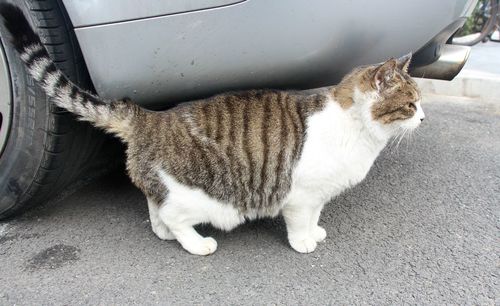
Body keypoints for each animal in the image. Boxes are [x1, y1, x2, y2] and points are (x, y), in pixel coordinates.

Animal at [0, 3, 424, 256]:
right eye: (410, 104)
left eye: (421, 102)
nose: (423, 119)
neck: (358, 130)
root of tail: (150, 117)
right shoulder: (302, 195)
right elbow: (302, 220)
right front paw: (304, 242)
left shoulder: (318, 194)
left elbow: (317, 215)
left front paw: (315, 233)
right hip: (201, 195)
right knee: (173, 214)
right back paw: (196, 243)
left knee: (156, 208)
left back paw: (165, 234)